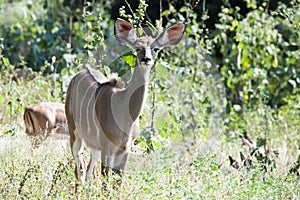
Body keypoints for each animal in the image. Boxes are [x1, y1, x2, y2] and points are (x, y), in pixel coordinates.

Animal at [64, 18, 184, 184]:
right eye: (138, 48)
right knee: (79, 170)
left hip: (93, 145)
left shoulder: (125, 149)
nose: (146, 59)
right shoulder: (107, 147)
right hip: (74, 132)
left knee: (87, 171)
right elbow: (106, 182)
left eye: (155, 48)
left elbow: (117, 183)